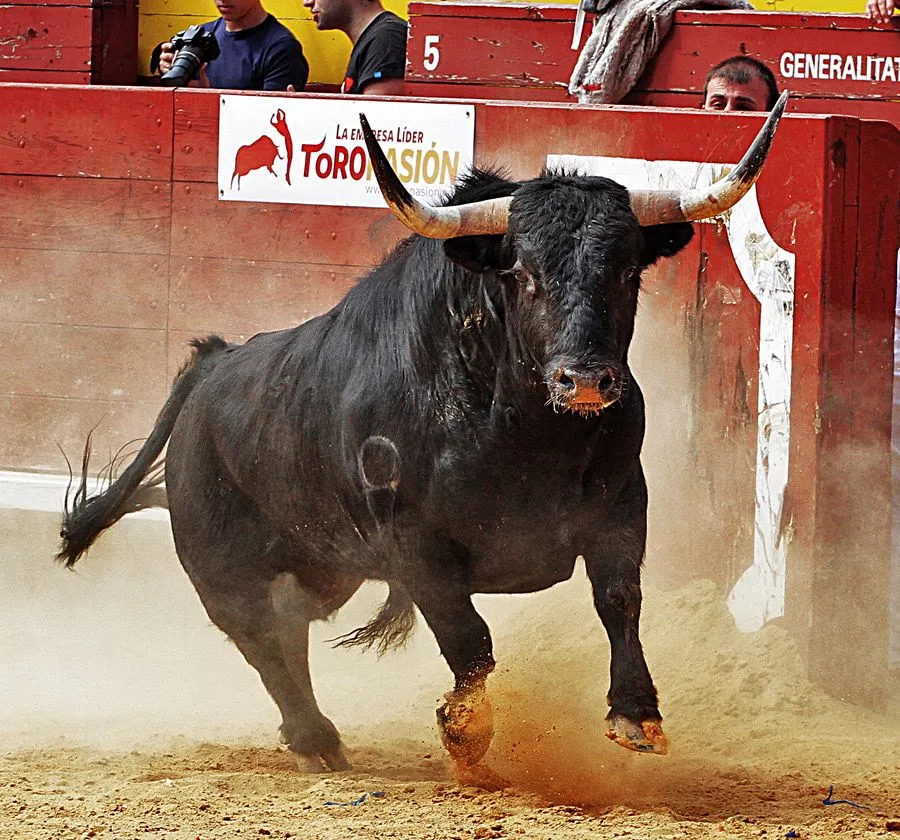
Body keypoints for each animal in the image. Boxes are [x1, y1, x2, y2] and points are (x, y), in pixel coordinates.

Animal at [59, 100, 784, 776]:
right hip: (224, 571)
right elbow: (468, 637)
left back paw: (318, 738)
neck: (522, 432)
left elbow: (619, 598)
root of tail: (214, 365)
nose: (584, 381)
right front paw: (465, 732)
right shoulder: (414, 546)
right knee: (262, 639)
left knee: (290, 628)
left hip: (324, 566)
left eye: (629, 273)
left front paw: (635, 713)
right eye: (522, 274)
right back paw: (314, 738)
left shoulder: (620, 504)